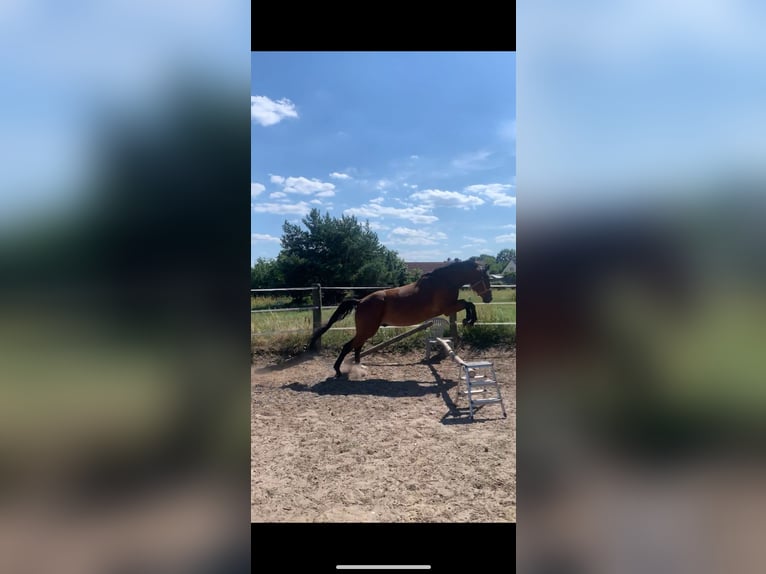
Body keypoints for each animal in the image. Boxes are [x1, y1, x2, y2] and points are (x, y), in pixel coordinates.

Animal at [308, 258, 493, 378]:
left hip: (365, 331)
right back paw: (339, 371)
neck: (444, 281)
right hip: (367, 330)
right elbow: (469, 304)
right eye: (485, 278)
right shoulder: (448, 308)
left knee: (357, 347)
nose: (489, 298)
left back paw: (359, 369)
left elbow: (469, 303)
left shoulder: (451, 307)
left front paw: (468, 320)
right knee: (349, 346)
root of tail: (360, 301)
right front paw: (469, 320)